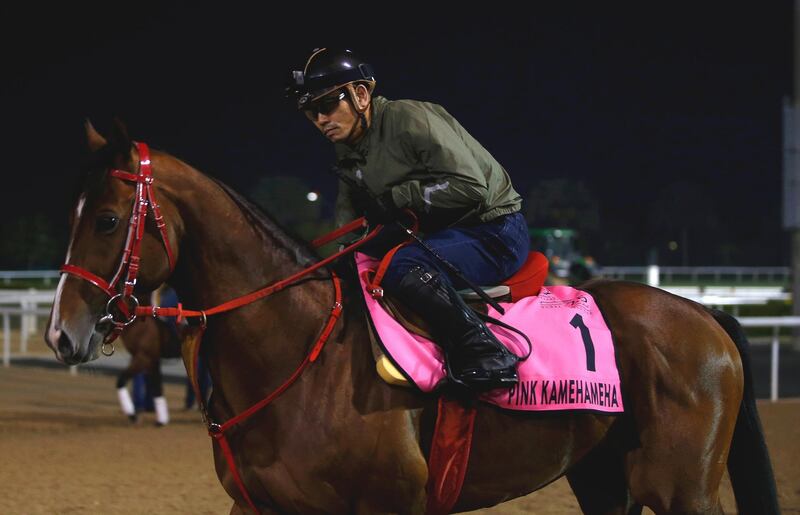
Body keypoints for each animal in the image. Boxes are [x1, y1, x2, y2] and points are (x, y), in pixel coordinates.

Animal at [47, 122, 780, 515]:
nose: (61, 333)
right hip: (604, 475)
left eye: (107, 219)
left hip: (682, 486)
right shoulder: (259, 503)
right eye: (74, 214)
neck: (298, 354)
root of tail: (703, 313)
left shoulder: (388, 502)